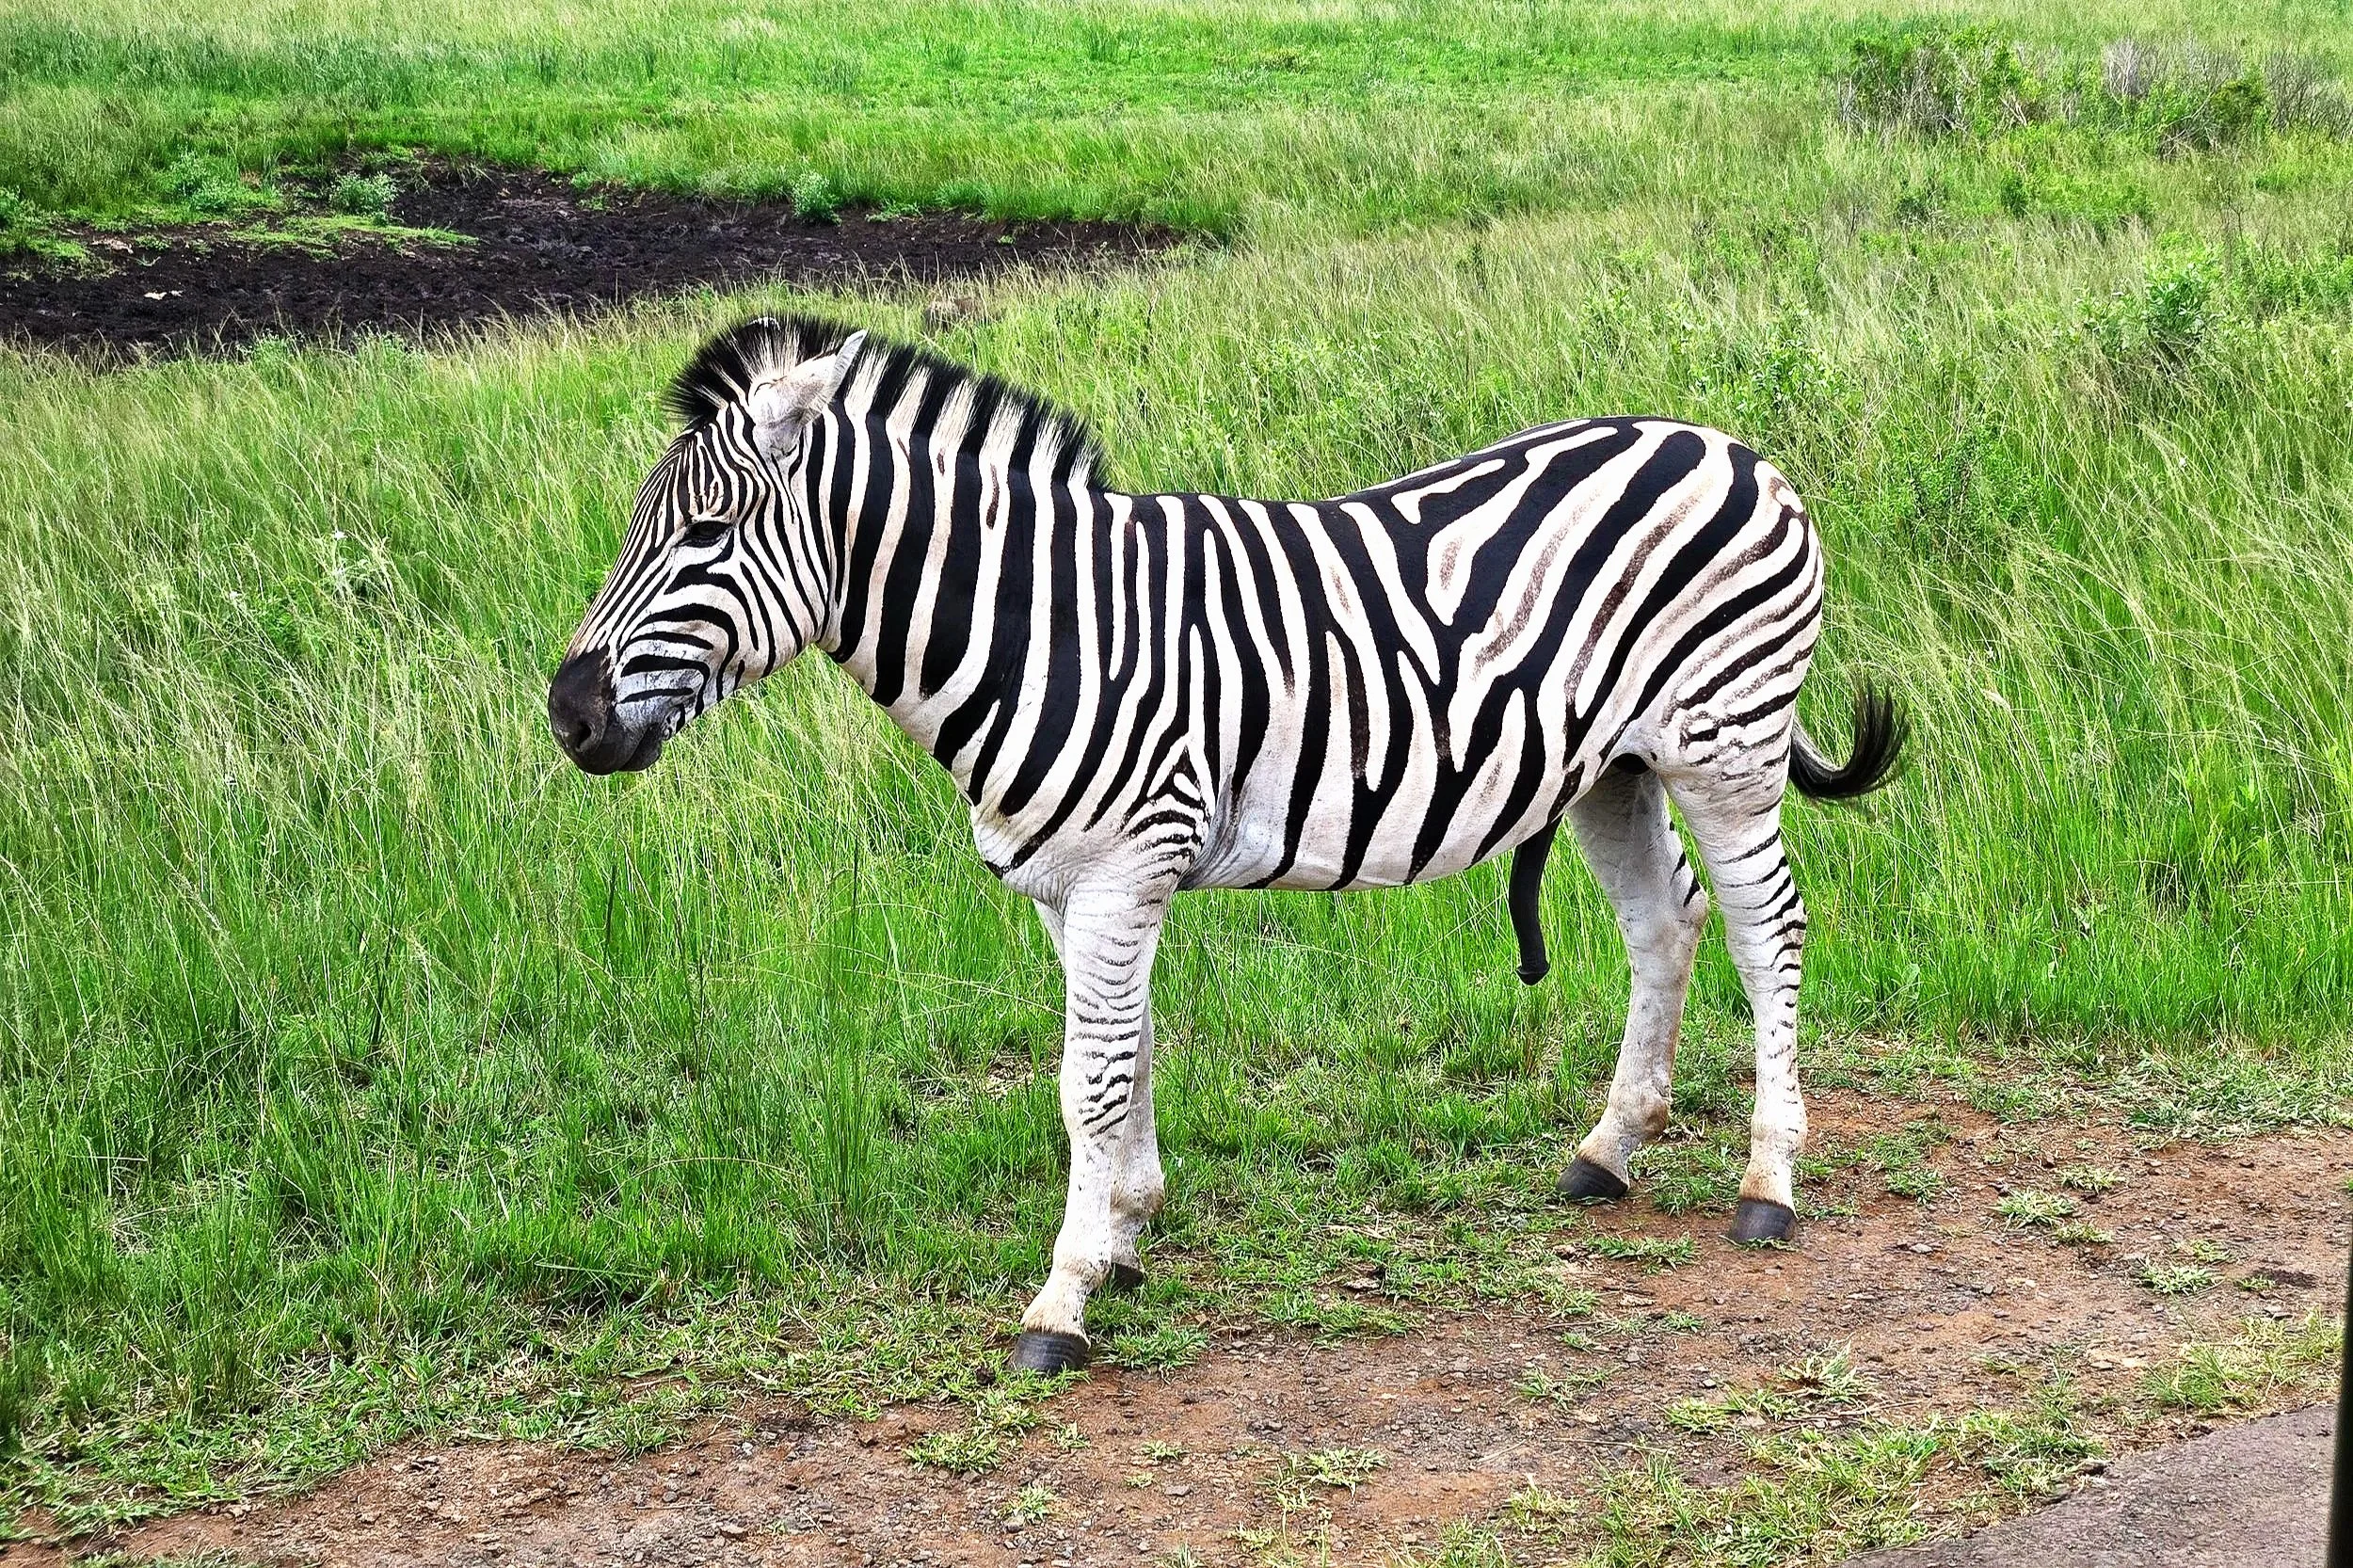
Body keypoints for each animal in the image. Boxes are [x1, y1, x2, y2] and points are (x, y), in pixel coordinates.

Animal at [549, 315, 1907, 1373]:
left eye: (705, 534)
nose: (567, 716)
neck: (1043, 625)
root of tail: (1730, 446)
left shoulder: (1122, 865)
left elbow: (1085, 1081)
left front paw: (1062, 1298)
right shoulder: (1072, 881)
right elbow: (1129, 1052)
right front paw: (1125, 1234)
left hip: (1725, 750)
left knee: (1766, 930)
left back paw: (1768, 1184)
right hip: (1614, 768)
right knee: (1664, 924)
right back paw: (1610, 1149)